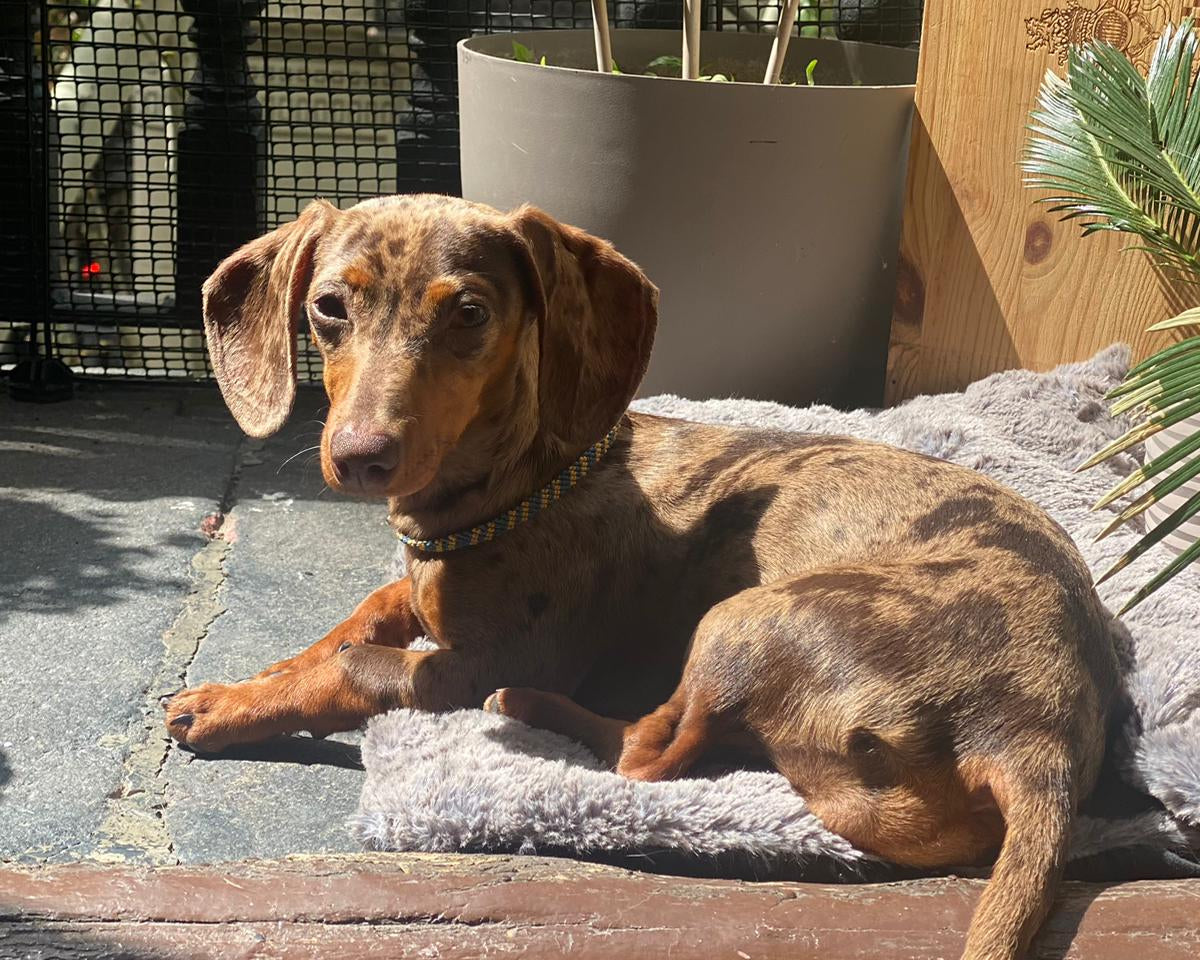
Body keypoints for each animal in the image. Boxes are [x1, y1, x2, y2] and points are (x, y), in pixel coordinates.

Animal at [168, 194, 1121, 960]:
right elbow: (358, 617)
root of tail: (1036, 736)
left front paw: (225, 706)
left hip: (740, 618)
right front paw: (266, 673)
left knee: (646, 756)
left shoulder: (472, 663)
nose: (361, 456)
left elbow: (354, 666)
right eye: (329, 307)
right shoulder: (418, 590)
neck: (525, 484)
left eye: (470, 313)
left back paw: (531, 711)